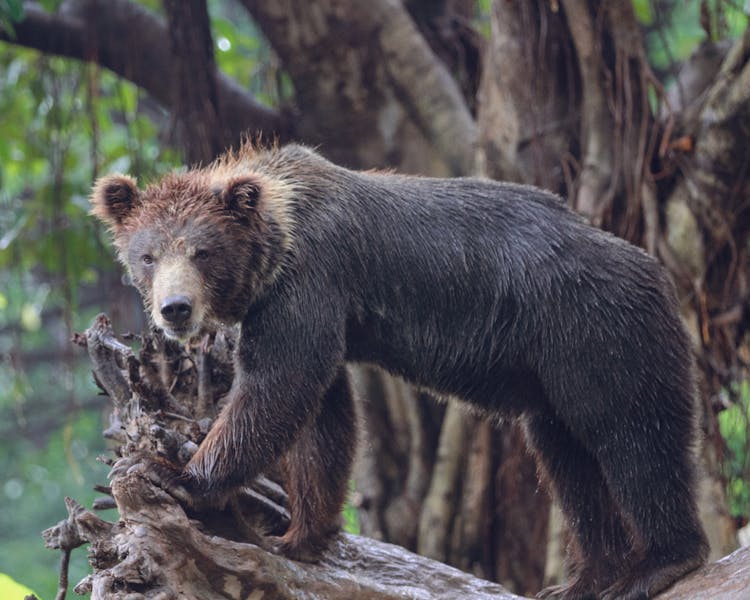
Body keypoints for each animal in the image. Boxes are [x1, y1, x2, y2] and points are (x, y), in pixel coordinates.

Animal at [91, 144, 708, 600]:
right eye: (148, 255)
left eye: (202, 252)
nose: (175, 309)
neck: (275, 242)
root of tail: (656, 271)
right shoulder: (315, 310)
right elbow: (325, 416)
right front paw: (301, 534)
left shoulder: (308, 284)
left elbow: (276, 390)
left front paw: (178, 473)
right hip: (551, 376)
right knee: (567, 460)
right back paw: (584, 579)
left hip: (595, 334)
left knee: (632, 438)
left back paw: (659, 563)